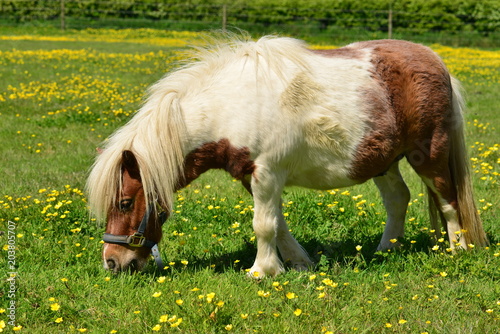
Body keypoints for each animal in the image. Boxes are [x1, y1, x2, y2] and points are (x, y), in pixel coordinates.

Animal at [87, 36, 488, 276]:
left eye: (124, 203)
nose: (112, 262)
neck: (231, 105)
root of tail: (434, 59)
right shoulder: (252, 176)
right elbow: (277, 224)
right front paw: (297, 263)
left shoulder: (266, 172)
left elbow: (263, 225)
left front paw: (261, 272)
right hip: (383, 161)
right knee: (398, 200)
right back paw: (385, 251)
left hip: (428, 153)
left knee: (448, 200)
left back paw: (458, 252)